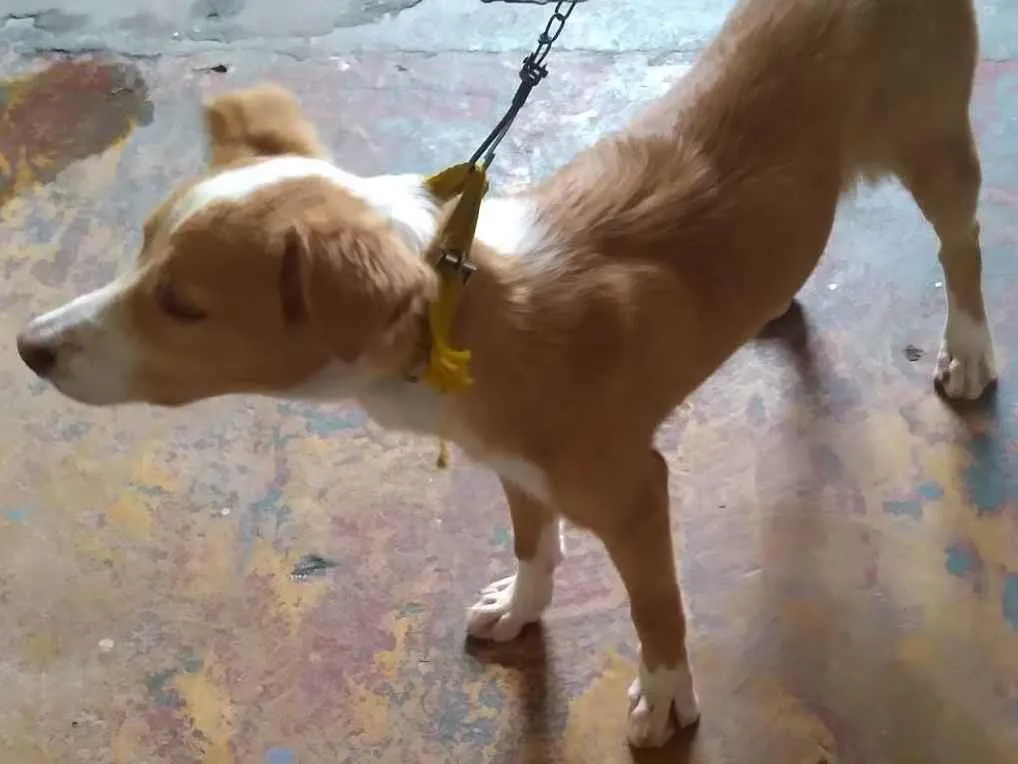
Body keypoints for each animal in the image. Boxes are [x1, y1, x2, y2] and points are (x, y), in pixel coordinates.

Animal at [15, 0, 994, 748]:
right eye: (140, 247)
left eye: (182, 304)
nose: (28, 347)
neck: (460, 315)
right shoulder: (512, 460)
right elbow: (531, 535)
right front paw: (523, 603)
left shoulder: (636, 492)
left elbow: (656, 605)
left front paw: (667, 696)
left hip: (935, 139)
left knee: (963, 247)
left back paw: (972, 350)